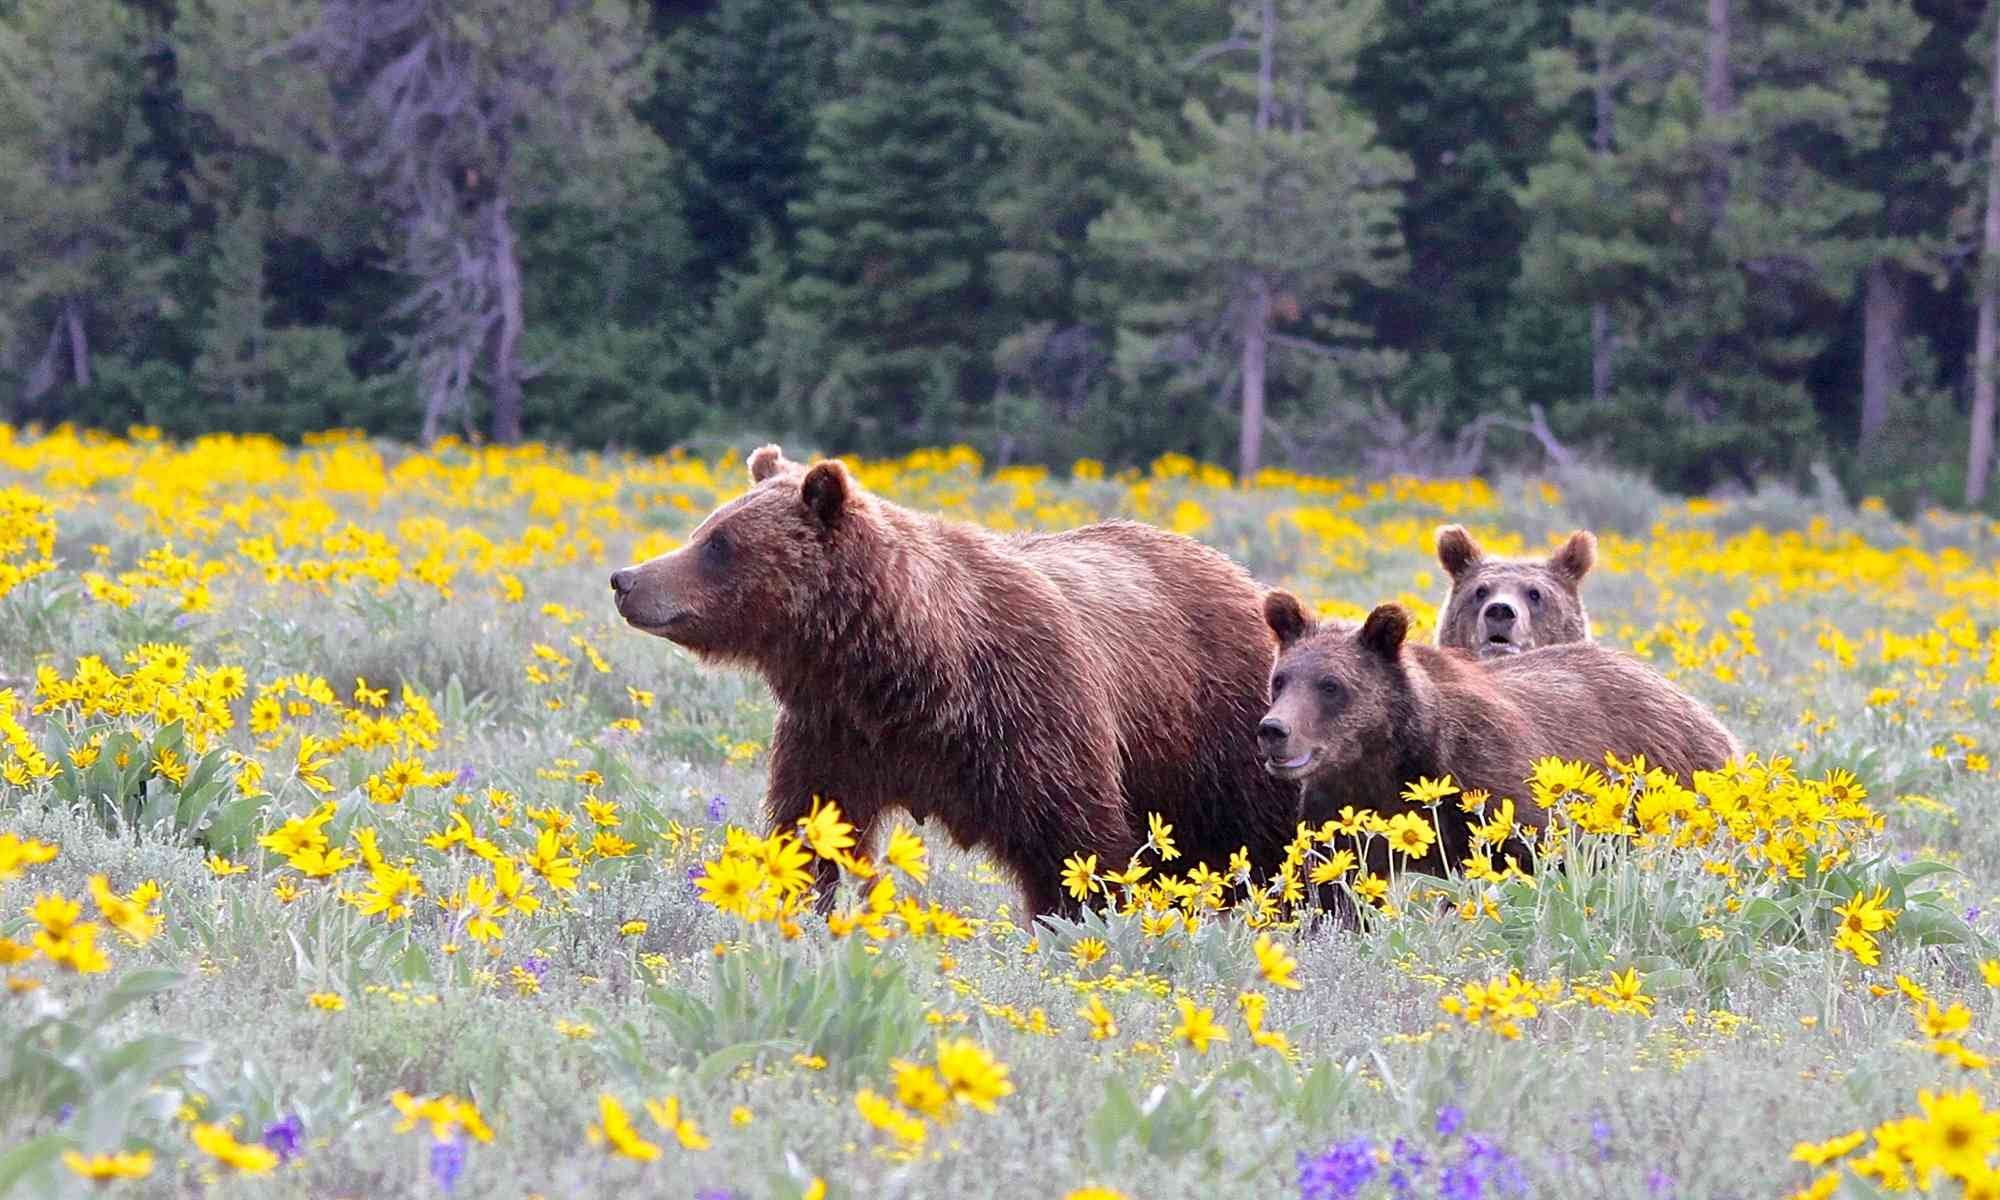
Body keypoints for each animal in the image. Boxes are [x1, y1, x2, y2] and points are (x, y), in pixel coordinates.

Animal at [608, 446, 1296, 916]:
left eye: (717, 543)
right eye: (705, 528)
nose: (626, 578)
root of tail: (1243, 577)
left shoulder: (1032, 710)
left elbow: (1078, 845)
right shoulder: (835, 731)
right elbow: (807, 825)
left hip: (1219, 729)